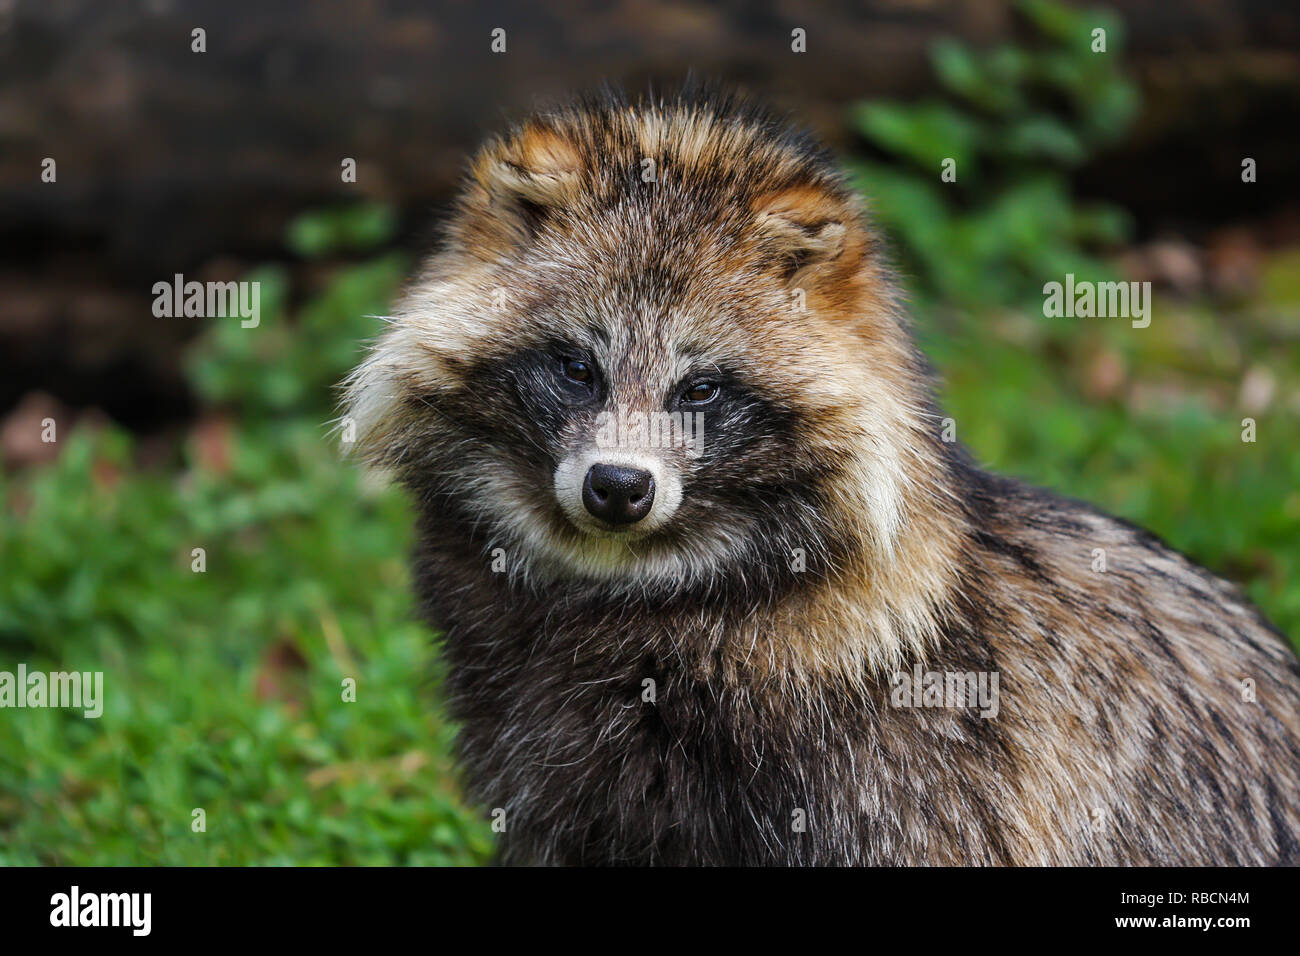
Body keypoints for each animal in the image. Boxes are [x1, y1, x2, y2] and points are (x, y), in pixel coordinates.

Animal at [345, 89, 1300, 868]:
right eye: (577, 368)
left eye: (700, 389)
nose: (618, 487)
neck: (642, 598)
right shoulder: (552, 777)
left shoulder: (908, 785)